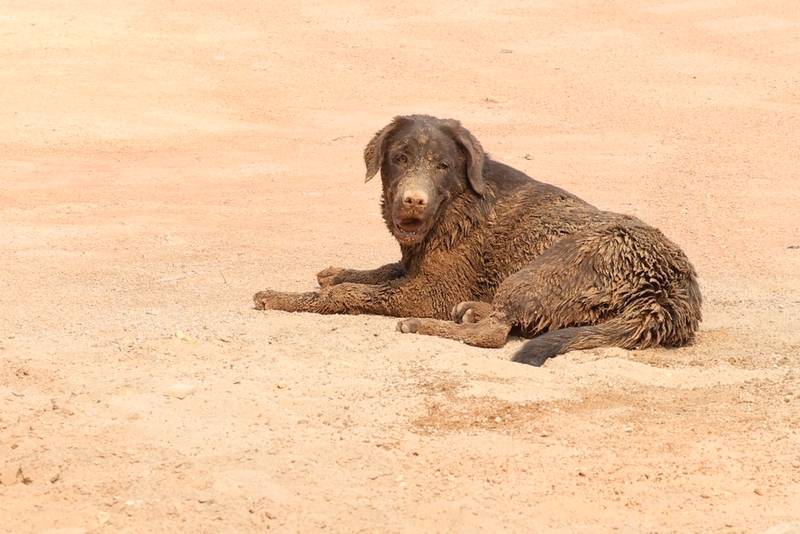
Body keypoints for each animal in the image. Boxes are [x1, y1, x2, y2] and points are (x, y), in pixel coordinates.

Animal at [255, 114, 700, 366]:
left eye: (442, 165)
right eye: (399, 158)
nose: (413, 200)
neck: (454, 204)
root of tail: (668, 297)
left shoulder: (430, 292)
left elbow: (345, 294)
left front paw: (281, 296)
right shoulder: (412, 267)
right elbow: (376, 271)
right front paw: (334, 272)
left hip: (542, 269)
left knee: (494, 335)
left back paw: (425, 324)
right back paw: (472, 309)